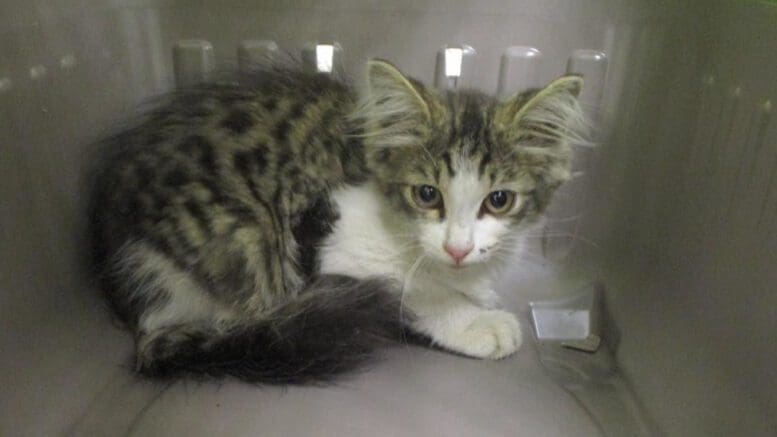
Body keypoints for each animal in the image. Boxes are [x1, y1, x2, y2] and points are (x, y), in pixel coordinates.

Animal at [88, 58, 584, 382]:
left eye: (499, 200)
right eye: (427, 194)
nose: (457, 249)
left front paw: (480, 292)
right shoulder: (330, 239)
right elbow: (413, 289)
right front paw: (476, 321)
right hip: (245, 246)